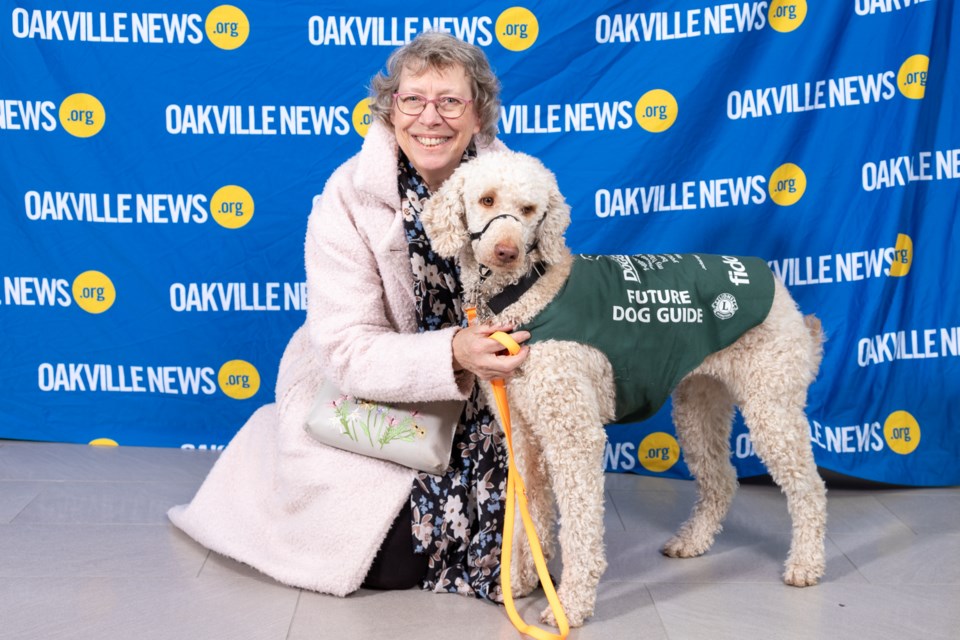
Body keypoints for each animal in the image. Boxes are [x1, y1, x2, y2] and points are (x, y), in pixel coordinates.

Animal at [424, 152, 828, 628]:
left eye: (528, 210)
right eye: (486, 200)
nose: (507, 251)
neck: (527, 294)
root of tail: (781, 289)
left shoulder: (574, 435)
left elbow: (579, 528)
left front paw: (570, 604)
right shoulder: (523, 433)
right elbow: (531, 513)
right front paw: (524, 579)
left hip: (771, 406)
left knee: (809, 487)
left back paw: (805, 563)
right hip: (699, 404)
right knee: (722, 480)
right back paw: (692, 541)